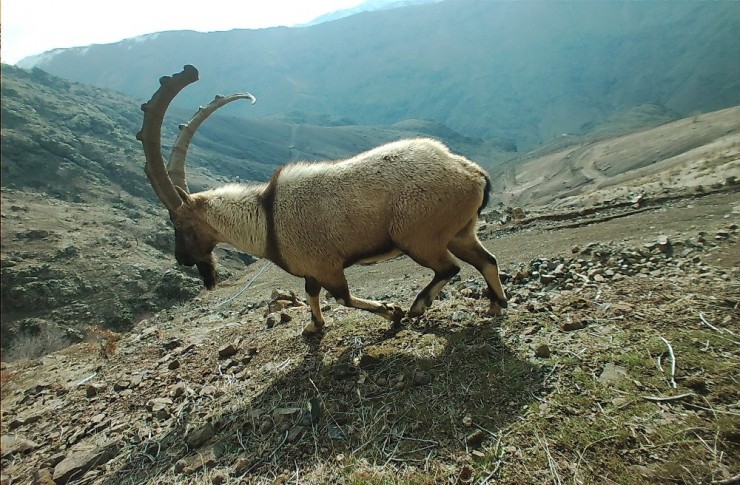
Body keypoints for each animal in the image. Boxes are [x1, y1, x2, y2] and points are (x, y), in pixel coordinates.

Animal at [137, 66, 508, 334]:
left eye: (180, 222)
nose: (182, 259)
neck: (265, 217)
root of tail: (471, 172)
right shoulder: (312, 271)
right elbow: (311, 294)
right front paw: (314, 327)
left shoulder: (327, 265)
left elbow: (341, 298)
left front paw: (393, 312)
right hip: (459, 232)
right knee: (486, 260)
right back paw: (495, 305)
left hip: (417, 237)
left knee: (450, 267)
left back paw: (418, 307)